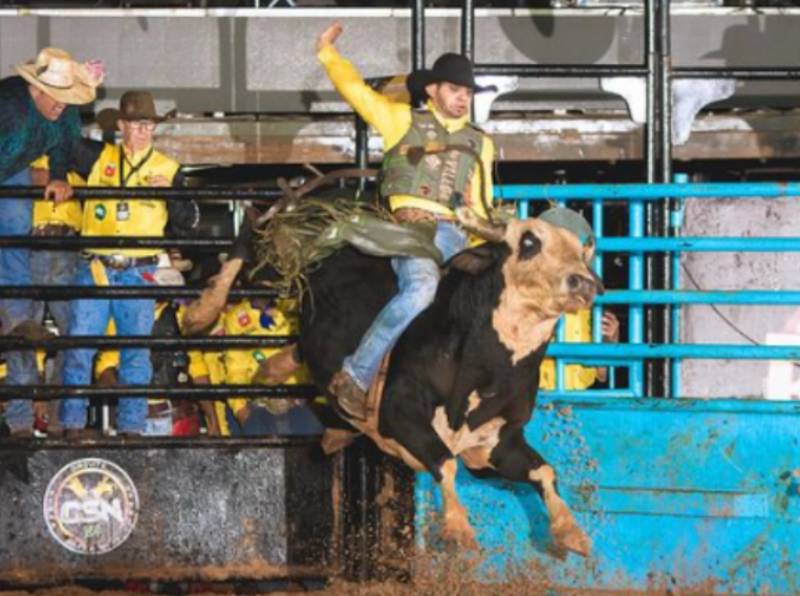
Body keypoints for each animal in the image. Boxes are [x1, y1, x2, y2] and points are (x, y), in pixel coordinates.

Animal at [184, 212, 604, 556]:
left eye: (583, 251)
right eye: (529, 241)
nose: (584, 282)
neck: (486, 366)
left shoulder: (495, 446)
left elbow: (543, 471)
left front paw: (572, 533)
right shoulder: (400, 413)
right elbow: (445, 461)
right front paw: (458, 529)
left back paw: (278, 373)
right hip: (280, 261)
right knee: (251, 234)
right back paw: (202, 312)